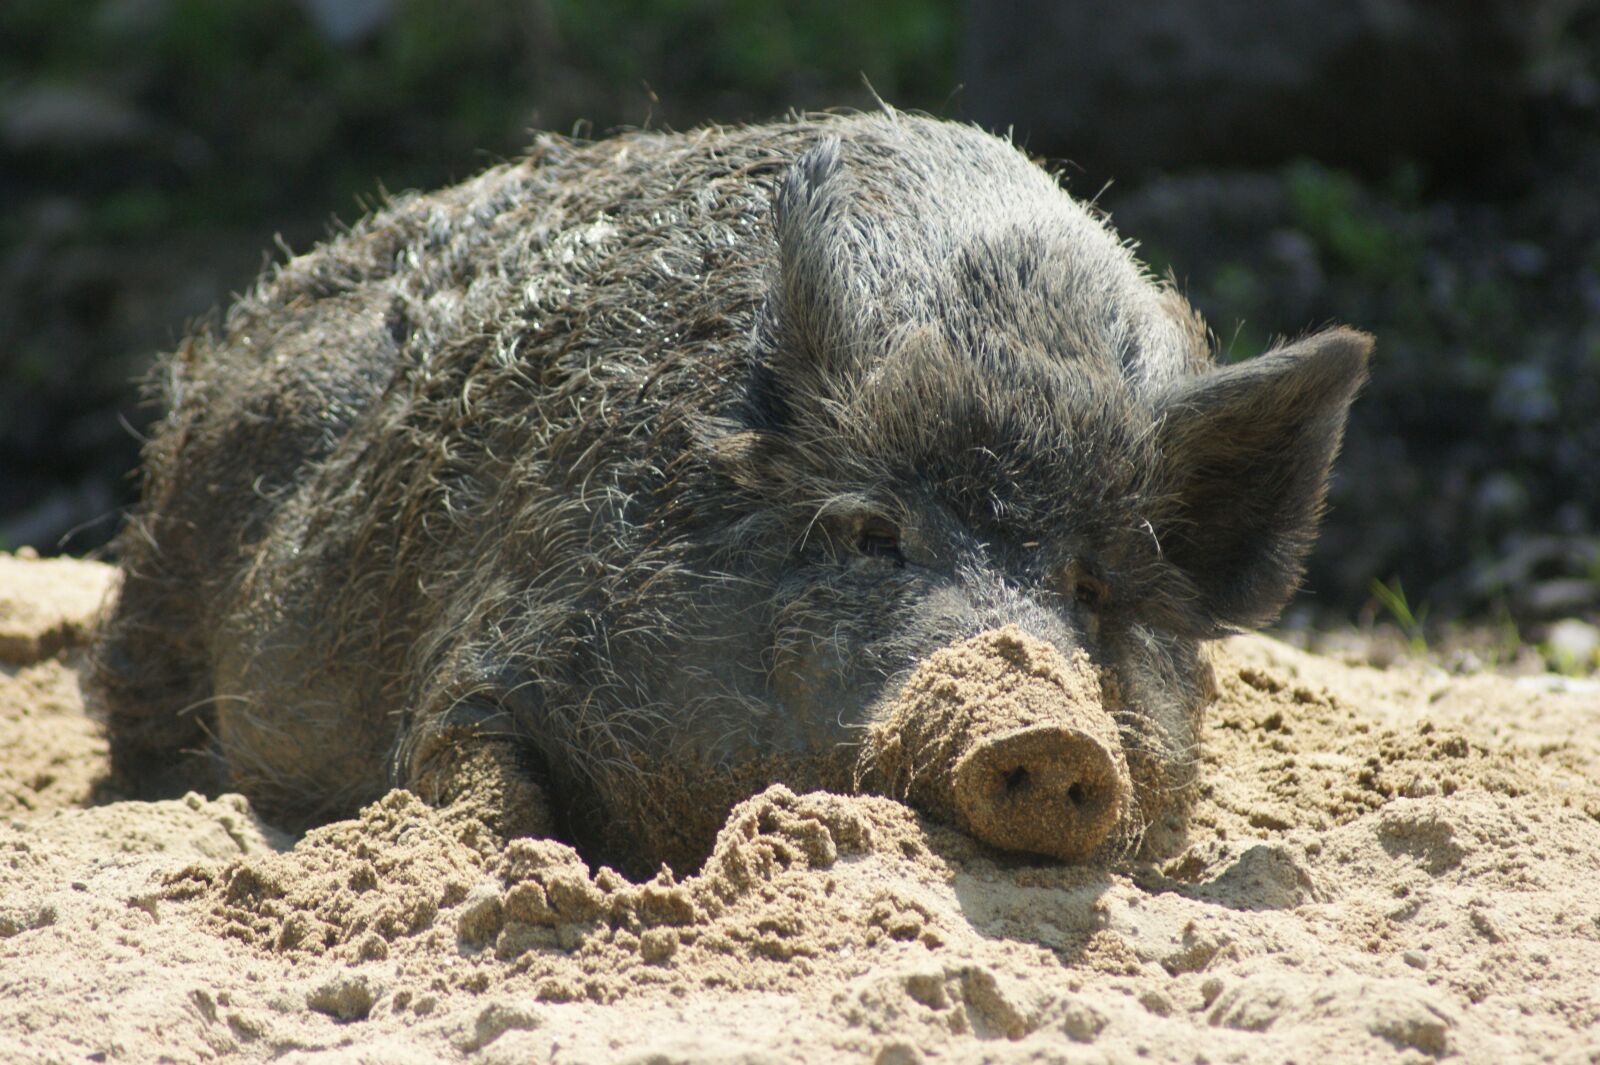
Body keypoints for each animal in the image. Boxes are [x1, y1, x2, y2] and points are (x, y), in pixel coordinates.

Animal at [91, 111, 1369, 875]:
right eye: (870, 534)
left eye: (1096, 584)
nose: (1046, 730)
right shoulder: (491, 644)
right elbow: (481, 791)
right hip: (159, 602)